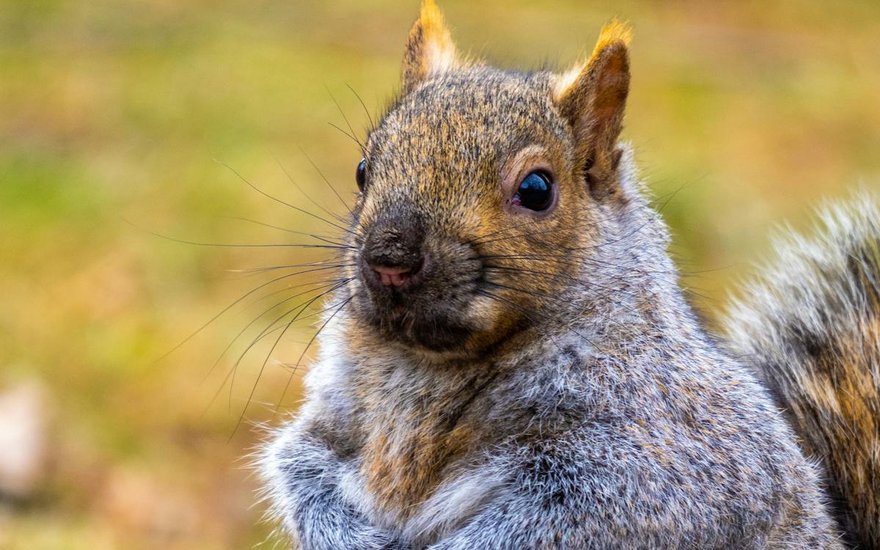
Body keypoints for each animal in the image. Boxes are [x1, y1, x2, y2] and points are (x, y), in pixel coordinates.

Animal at [260, 1, 879, 548]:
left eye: (537, 189)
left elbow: (584, 514)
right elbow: (301, 464)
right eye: (364, 170)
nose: (389, 258)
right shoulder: (334, 418)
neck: (429, 365)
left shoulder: (669, 458)